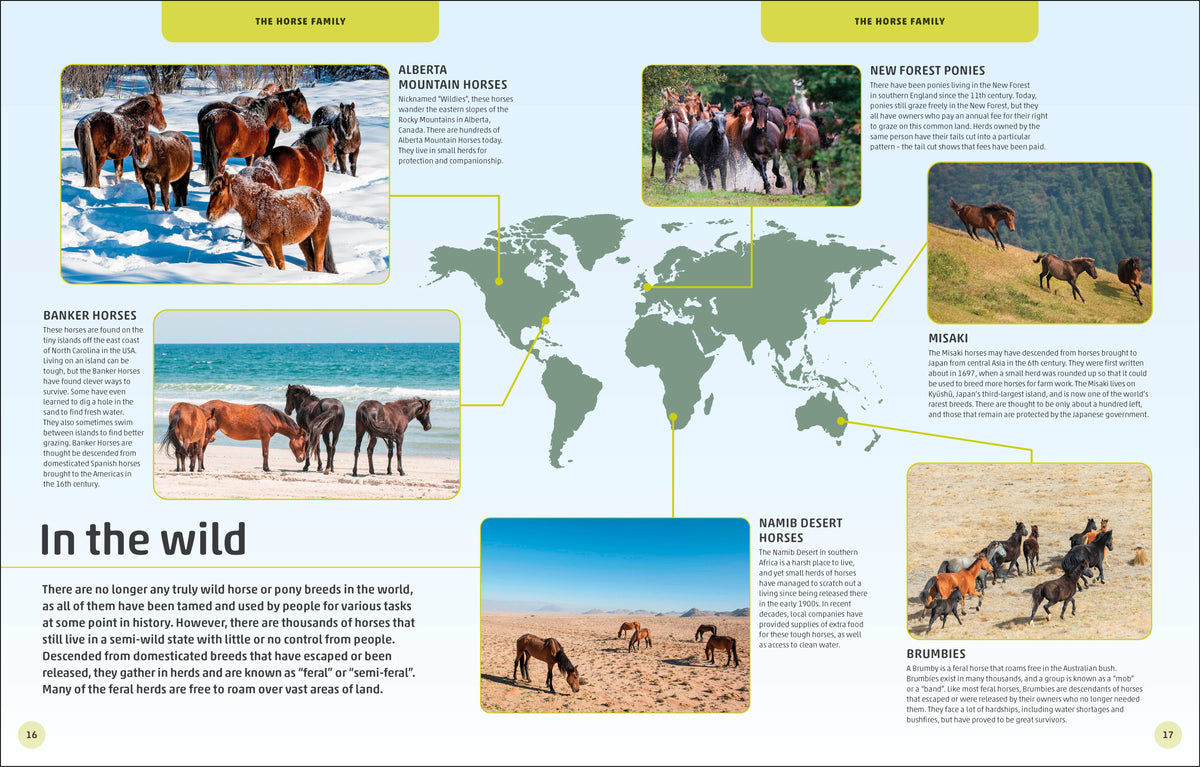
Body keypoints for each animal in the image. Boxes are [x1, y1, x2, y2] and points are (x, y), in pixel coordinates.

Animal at [205, 171, 336, 273]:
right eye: (210, 193)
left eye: (220, 193)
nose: (209, 215)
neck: (256, 208)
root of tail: (318, 196)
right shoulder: (260, 243)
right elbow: (270, 261)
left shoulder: (275, 241)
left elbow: (280, 262)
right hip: (304, 239)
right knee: (310, 259)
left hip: (318, 234)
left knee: (318, 260)